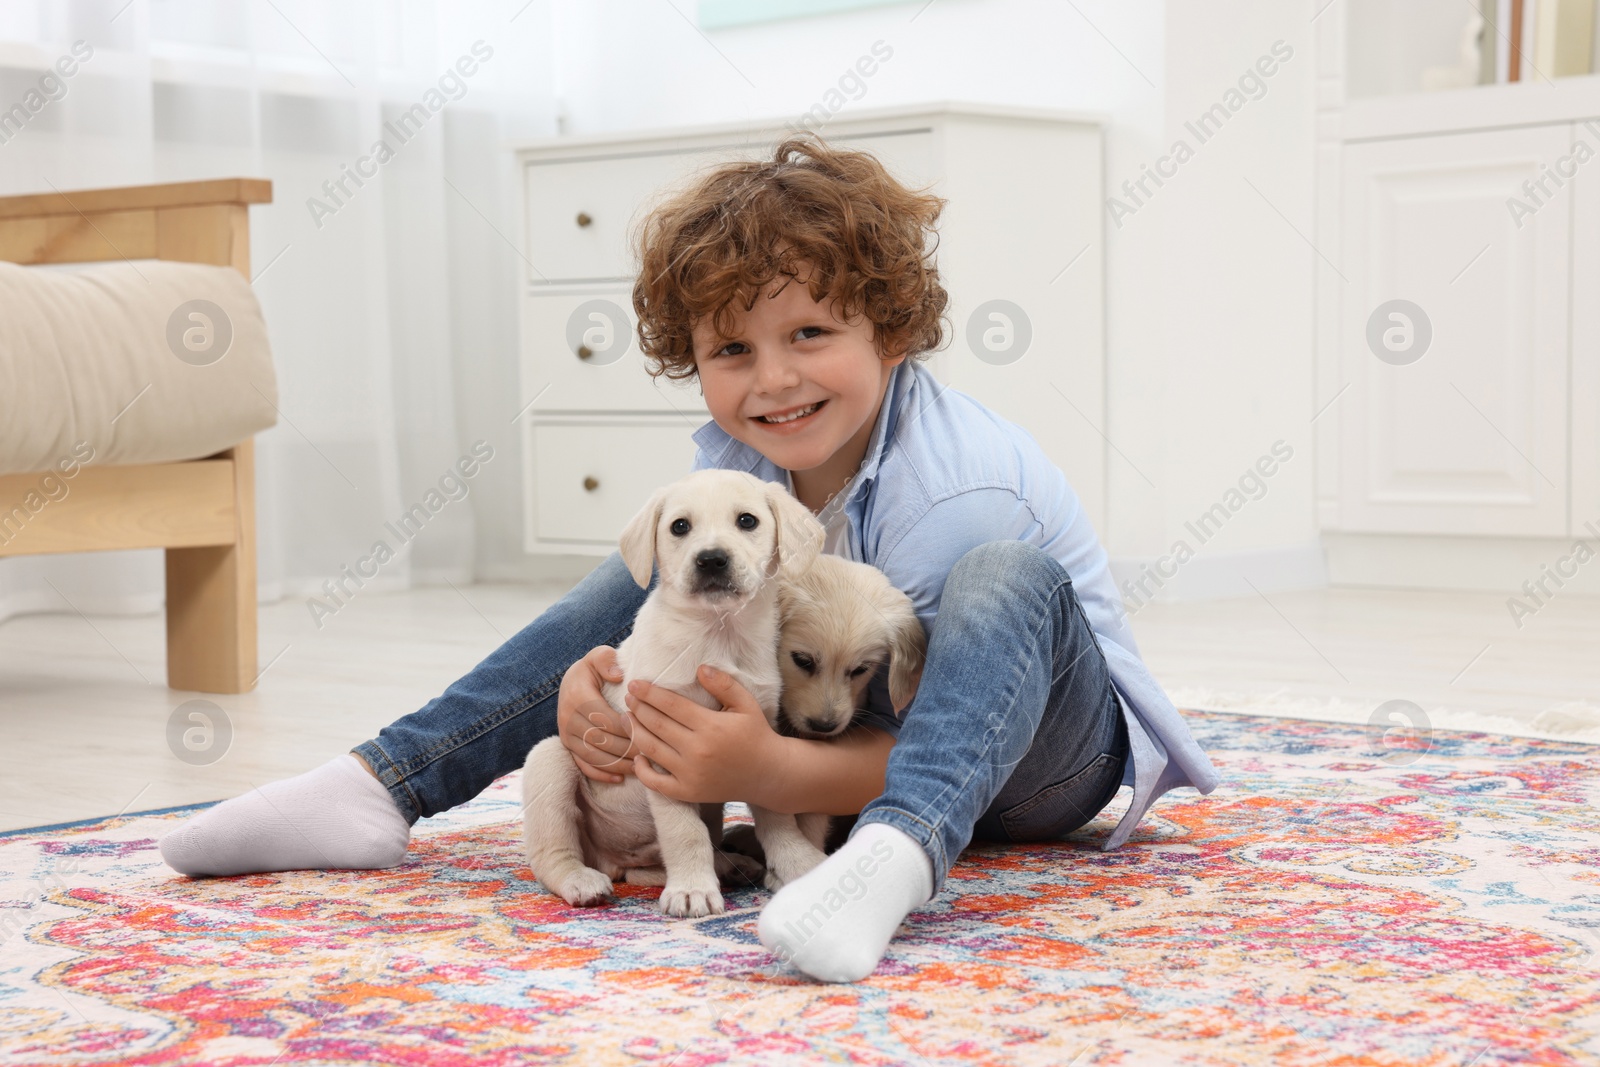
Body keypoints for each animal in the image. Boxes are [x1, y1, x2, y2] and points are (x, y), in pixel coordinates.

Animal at [524, 467, 825, 921]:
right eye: (679, 526)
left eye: (747, 521)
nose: (711, 559)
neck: (717, 634)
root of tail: (614, 863)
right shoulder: (662, 748)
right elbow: (684, 831)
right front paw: (692, 890)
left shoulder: (759, 737)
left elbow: (776, 815)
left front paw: (799, 864)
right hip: (551, 759)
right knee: (551, 854)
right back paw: (580, 880)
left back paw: (726, 864)